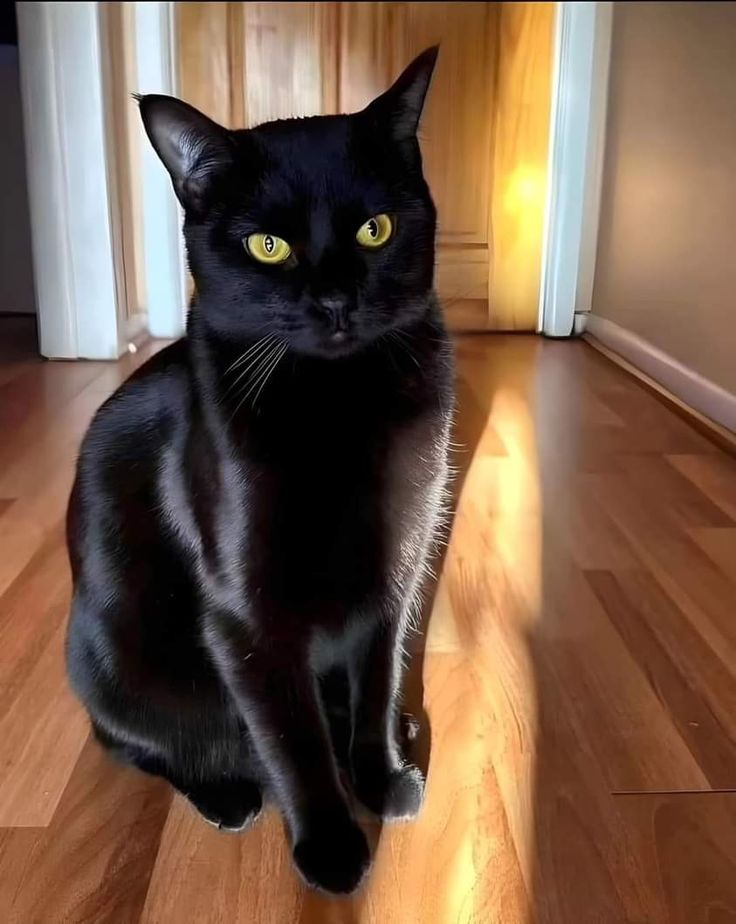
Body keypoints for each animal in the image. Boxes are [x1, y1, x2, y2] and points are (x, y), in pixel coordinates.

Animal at [64, 45, 454, 896]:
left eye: (375, 229)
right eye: (267, 247)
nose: (337, 301)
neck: (338, 406)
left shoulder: (397, 575)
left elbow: (377, 679)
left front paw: (381, 774)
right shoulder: (246, 618)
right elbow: (292, 738)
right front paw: (333, 846)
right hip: (110, 663)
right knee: (136, 742)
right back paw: (226, 794)